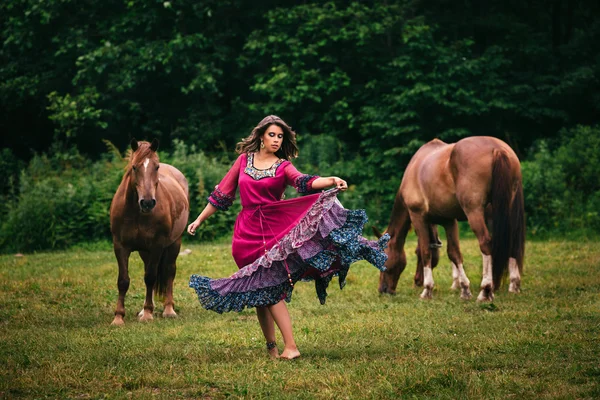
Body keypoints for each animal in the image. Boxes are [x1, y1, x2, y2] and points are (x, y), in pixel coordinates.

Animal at [109, 139, 190, 324]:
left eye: (156, 167)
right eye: (134, 167)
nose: (147, 202)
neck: (136, 213)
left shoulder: (157, 246)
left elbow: (151, 277)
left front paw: (147, 313)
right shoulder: (120, 246)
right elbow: (123, 280)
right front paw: (119, 317)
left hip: (174, 243)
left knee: (169, 271)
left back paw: (168, 309)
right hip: (144, 251)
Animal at [380, 136, 524, 302]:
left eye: (383, 259)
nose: (383, 290)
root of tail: (497, 149)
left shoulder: (418, 217)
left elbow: (426, 250)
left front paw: (427, 289)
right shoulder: (449, 221)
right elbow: (453, 253)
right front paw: (464, 289)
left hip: (475, 212)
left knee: (486, 244)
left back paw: (486, 290)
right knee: (512, 243)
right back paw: (513, 284)